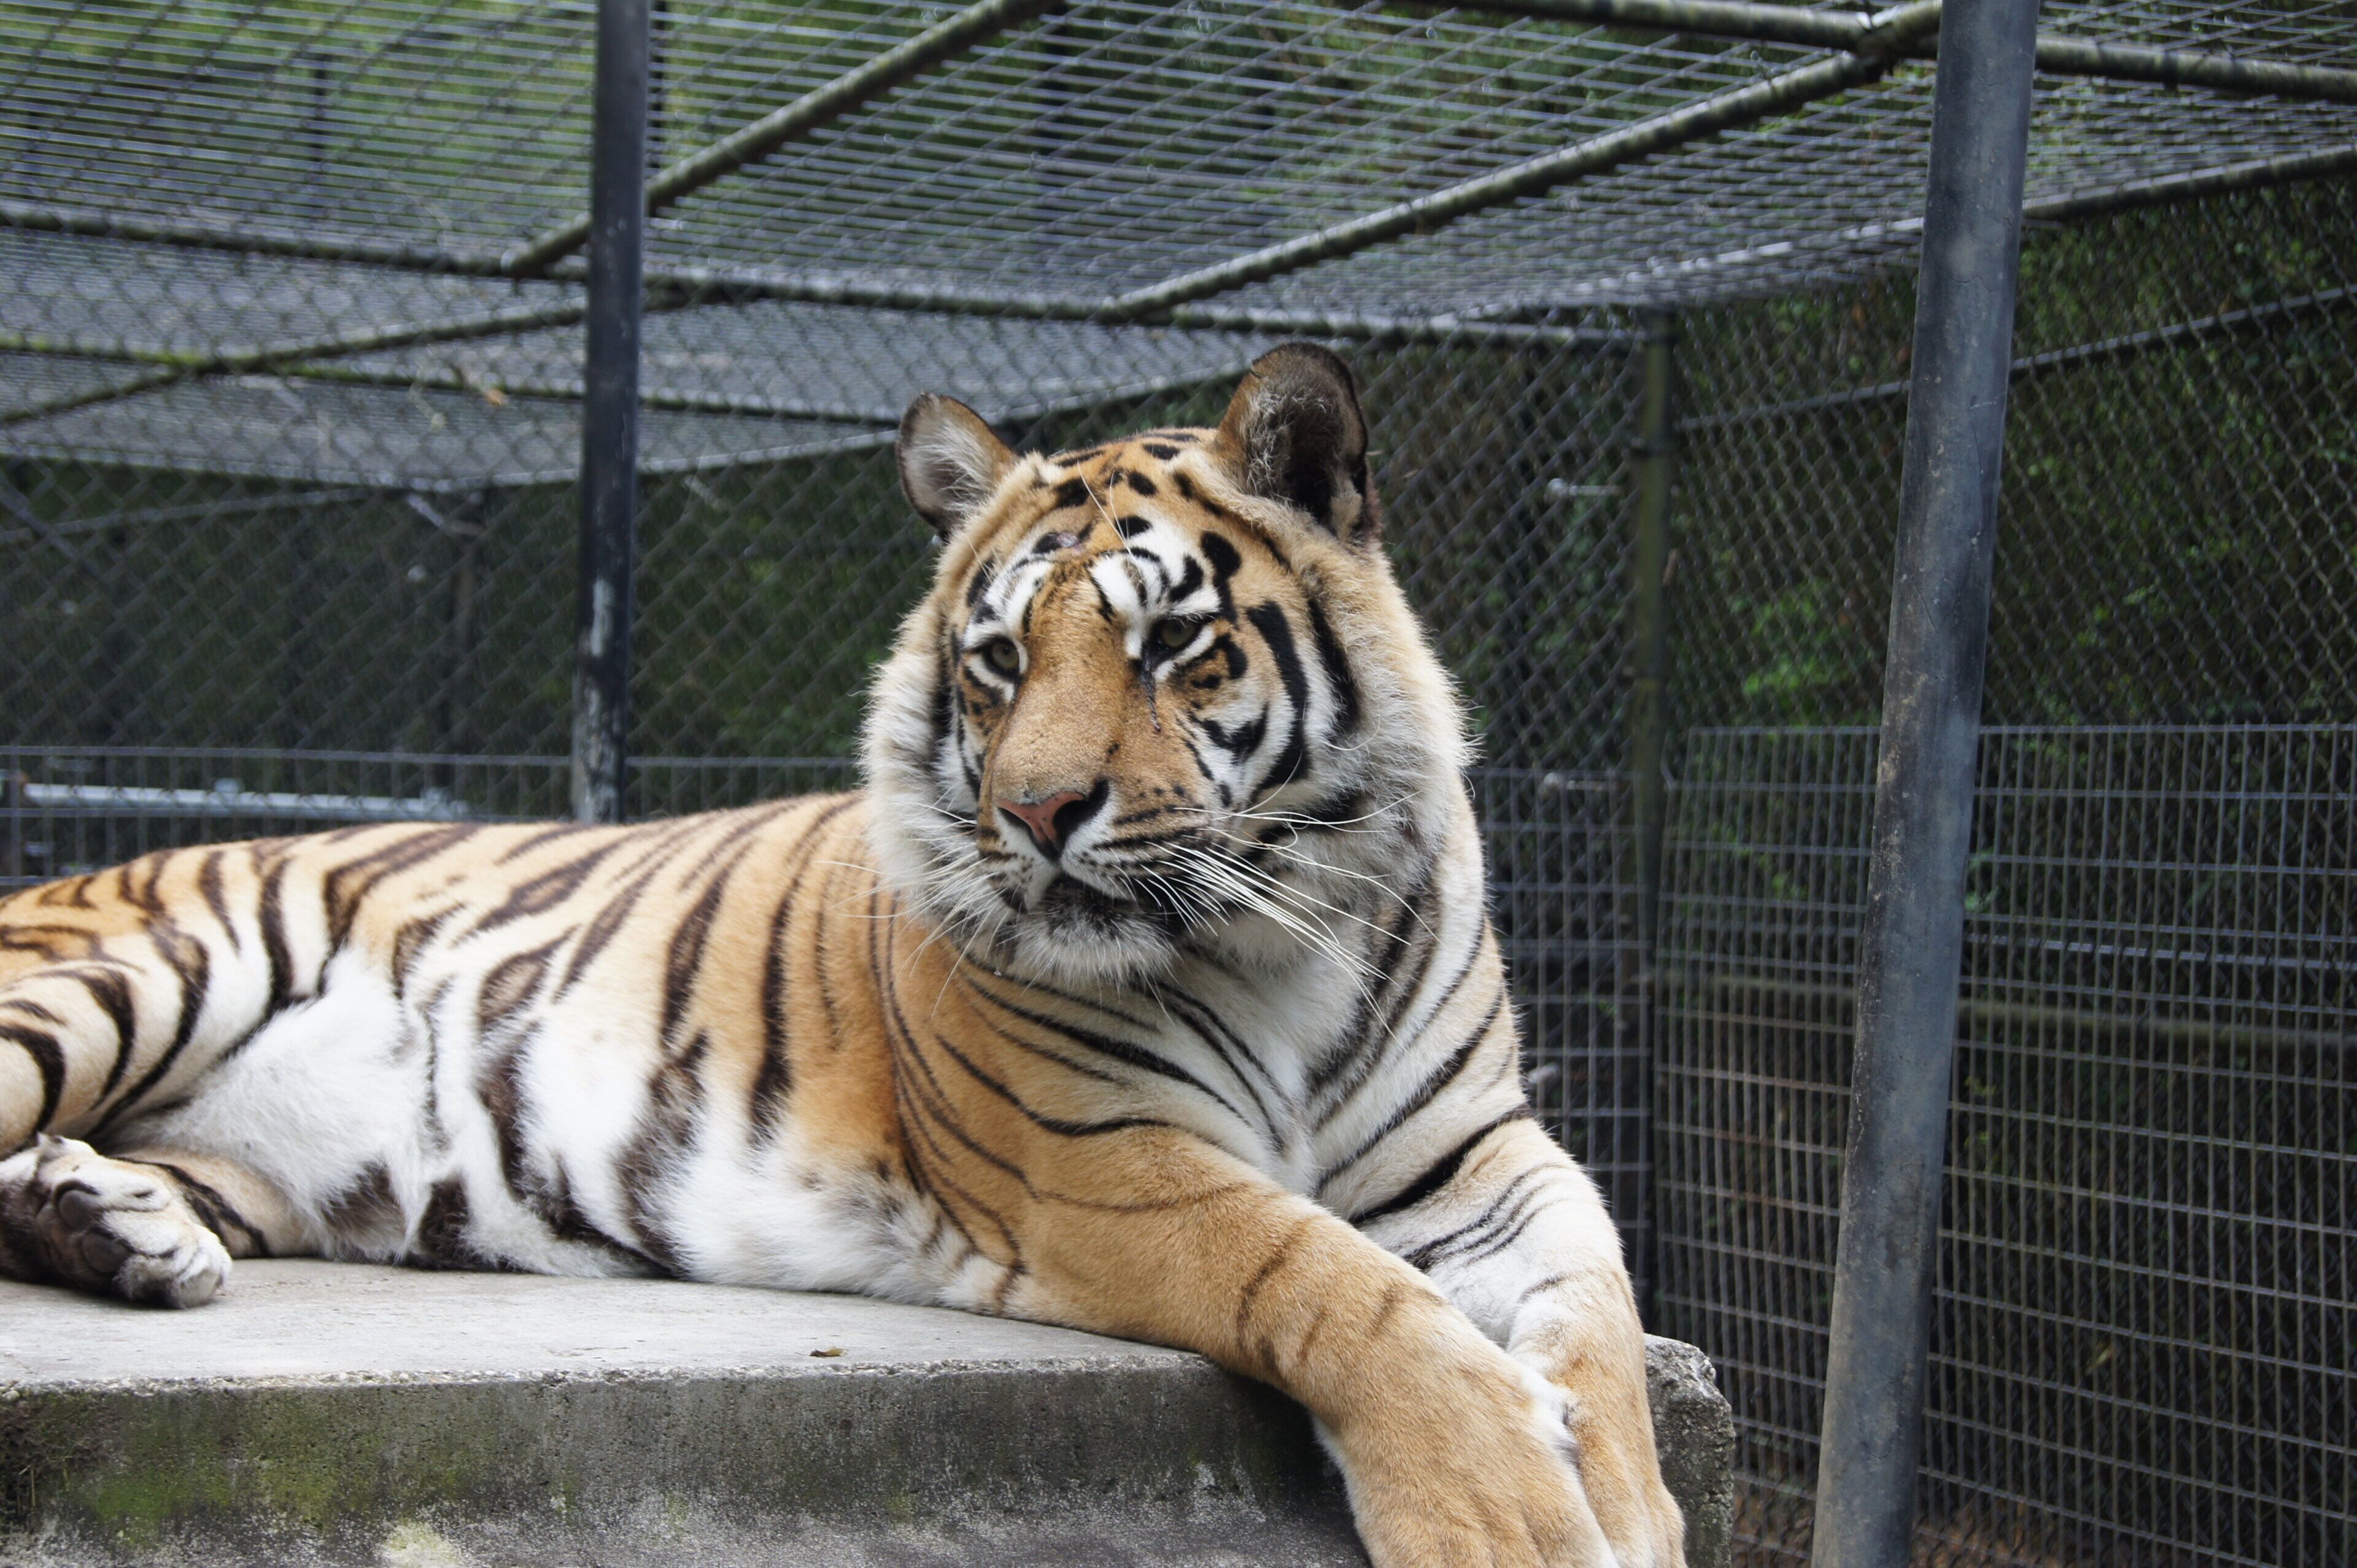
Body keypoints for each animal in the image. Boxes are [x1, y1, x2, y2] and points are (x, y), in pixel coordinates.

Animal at [0, 344, 1683, 1568]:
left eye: (1166, 646)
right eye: (998, 659)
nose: (1039, 812)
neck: (1284, 938)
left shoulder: (1477, 1153)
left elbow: (1594, 1296)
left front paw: (1627, 1502)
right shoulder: (1100, 1155)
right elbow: (1335, 1284)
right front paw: (1510, 1514)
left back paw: (109, 1224)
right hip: (141, 972)